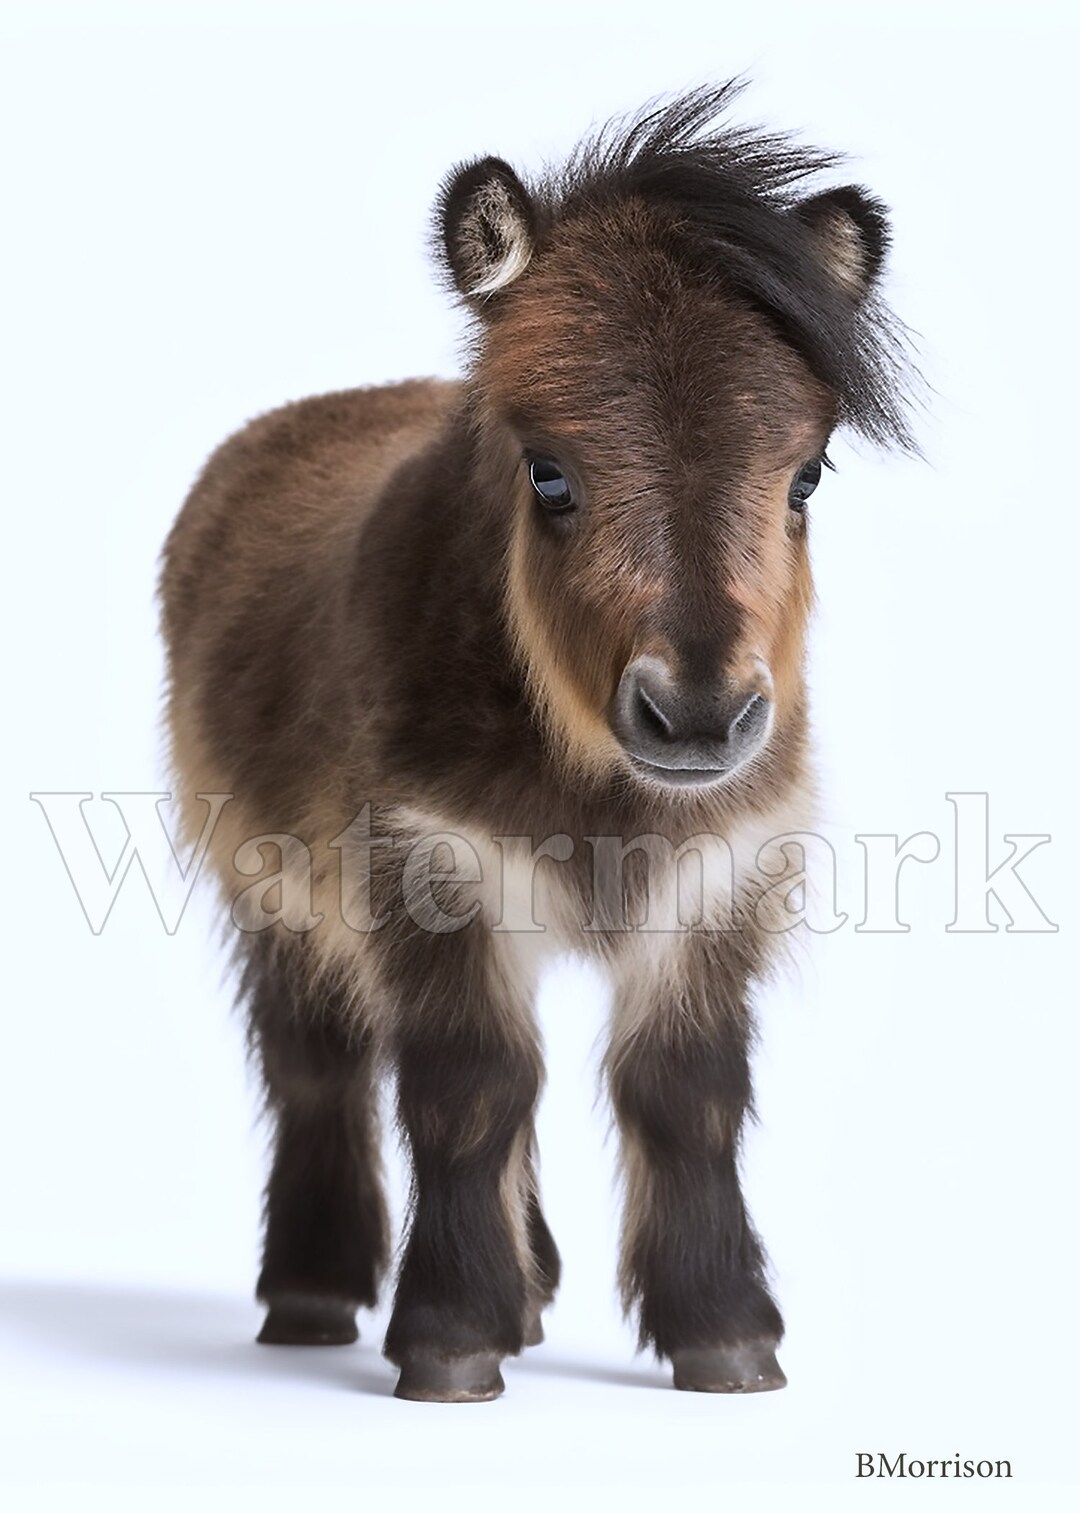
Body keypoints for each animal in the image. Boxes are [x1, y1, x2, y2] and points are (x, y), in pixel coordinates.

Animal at [159, 82, 913, 1402]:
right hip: (273, 895)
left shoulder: (719, 882)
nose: (699, 716)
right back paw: (316, 1294)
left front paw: (725, 1337)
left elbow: (685, 1096)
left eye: (807, 478)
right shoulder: (430, 869)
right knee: (319, 1069)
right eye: (549, 474)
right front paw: (453, 1338)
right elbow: (470, 1093)